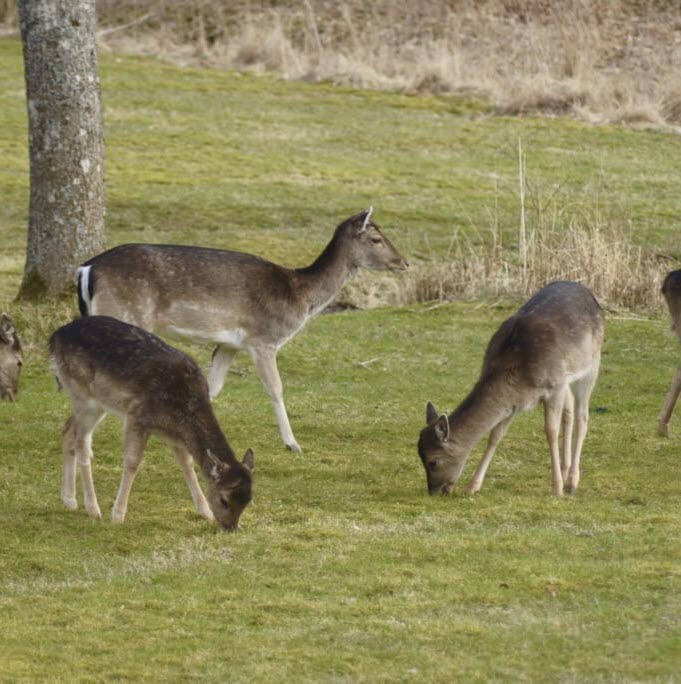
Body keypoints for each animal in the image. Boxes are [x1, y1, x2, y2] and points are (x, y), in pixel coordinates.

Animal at [49, 315, 255, 530]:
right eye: (224, 500)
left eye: (249, 499)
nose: (230, 527)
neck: (181, 412)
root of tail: (55, 337)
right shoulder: (137, 417)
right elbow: (132, 463)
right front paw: (118, 515)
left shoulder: (172, 433)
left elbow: (187, 463)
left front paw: (205, 512)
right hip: (84, 396)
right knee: (82, 444)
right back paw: (93, 508)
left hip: (98, 404)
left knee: (68, 430)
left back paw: (69, 500)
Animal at [76, 208, 409, 453]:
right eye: (376, 238)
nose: (404, 262)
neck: (299, 295)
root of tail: (87, 269)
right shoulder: (264, 339)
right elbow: (276, 388)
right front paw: (293, 444)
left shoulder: (229, 344)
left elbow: (212, 387)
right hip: (123, 314)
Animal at [417, 281, 604, 497]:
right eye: (420, 457)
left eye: (433, 461)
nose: (434, 491)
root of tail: (590, 294)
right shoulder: (516, 400)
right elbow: (495, 435)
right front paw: (472, 486)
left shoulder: (554, 385)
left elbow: (550, 430)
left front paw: (556, 488)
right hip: (567, 378)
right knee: (570, 409)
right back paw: (566, 474)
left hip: (591, 366)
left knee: (582, 416)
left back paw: (571, 482)